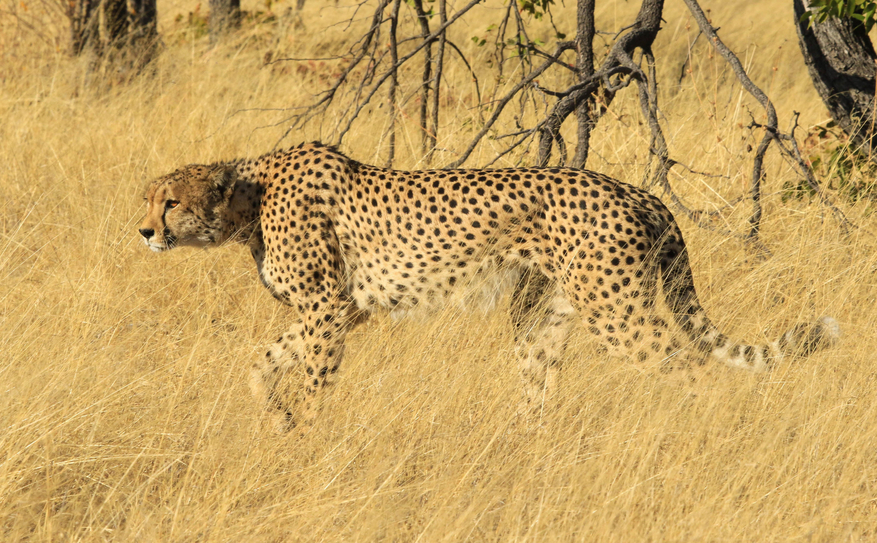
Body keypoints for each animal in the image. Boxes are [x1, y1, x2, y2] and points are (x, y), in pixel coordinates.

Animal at [140, 141, 840, 434]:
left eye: (171, 202)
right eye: (149, 199)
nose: (143, 231)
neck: (247, 198)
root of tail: (637, 190)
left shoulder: (329, 306)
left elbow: (311, 377)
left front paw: (308, 432)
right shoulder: (341, 311)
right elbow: (257, 365)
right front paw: (280, 419)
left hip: (617, 312)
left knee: (688, 365)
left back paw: (698, 433)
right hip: (542, 315)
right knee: (539, 389)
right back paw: (522, 449)